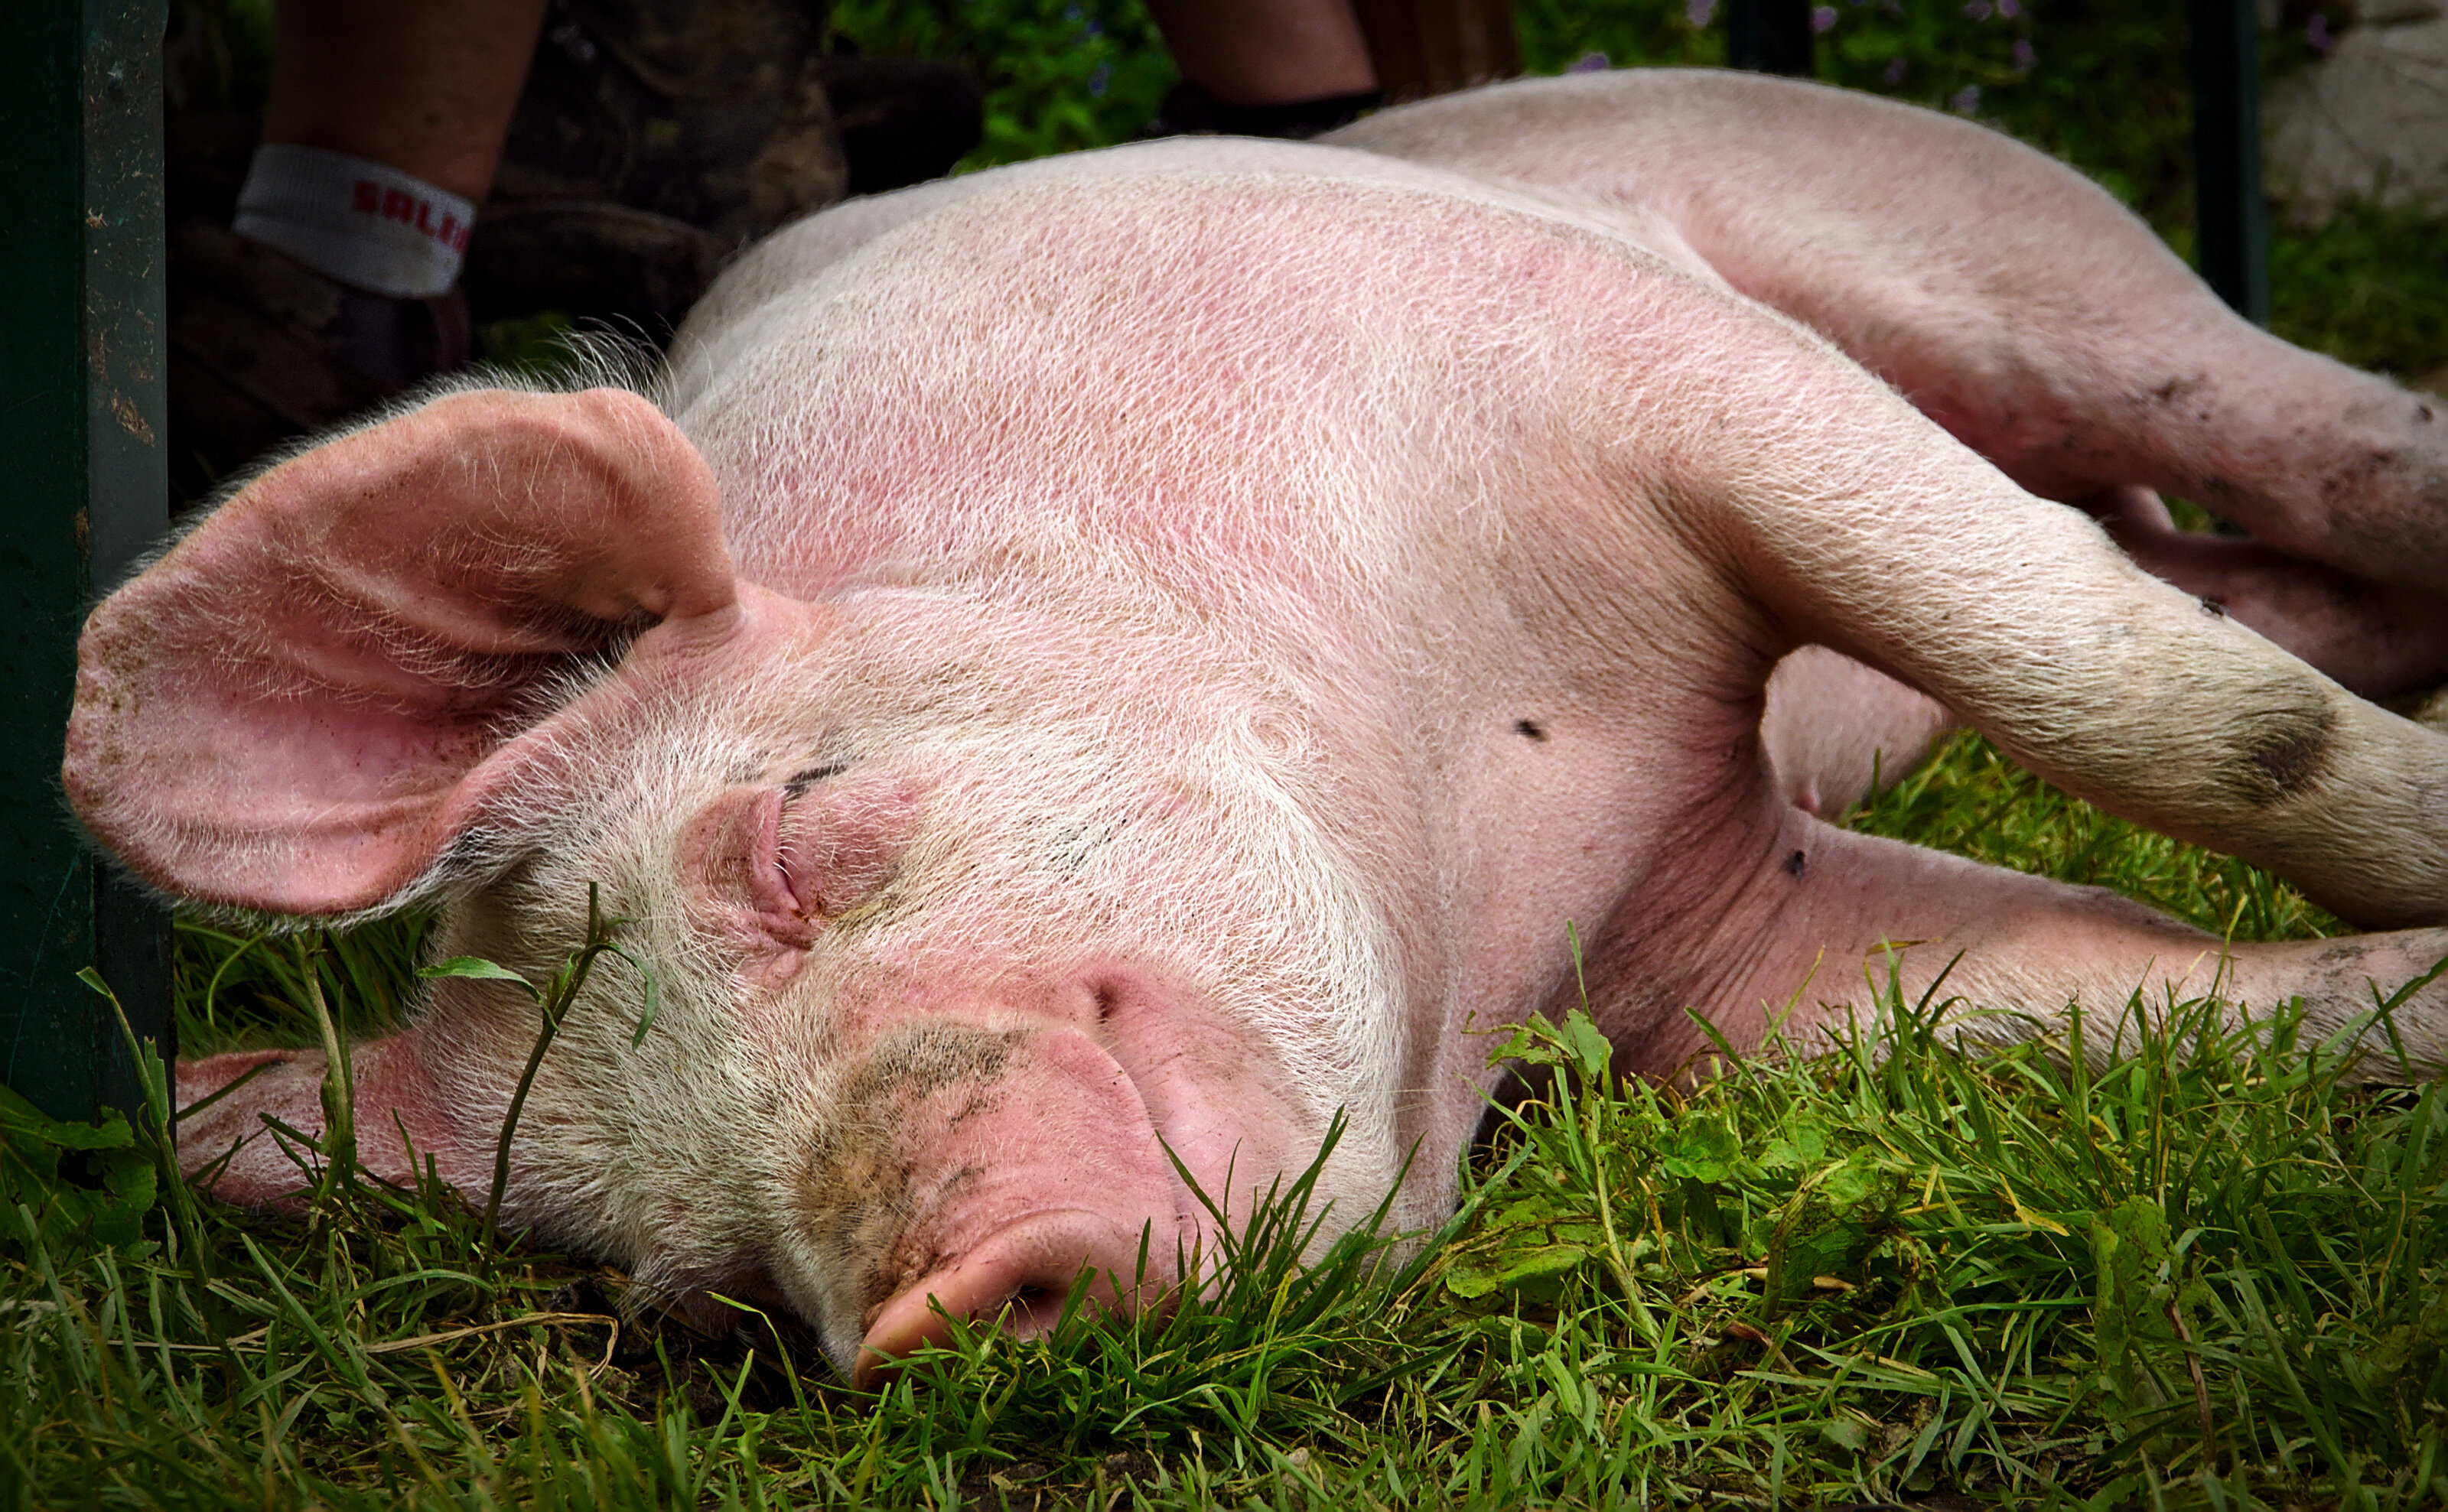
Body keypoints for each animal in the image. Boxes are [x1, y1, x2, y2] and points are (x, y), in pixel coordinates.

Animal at [66, 69, 2448, 1384]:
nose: (936, 1288)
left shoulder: (1626, 364)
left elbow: (2169, 712)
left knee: (2289, 454)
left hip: (1991, 243)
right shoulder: (1732, 943)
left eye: (794, 838)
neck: (1506, 887)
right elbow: (2095, 1003)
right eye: (696, 1288)